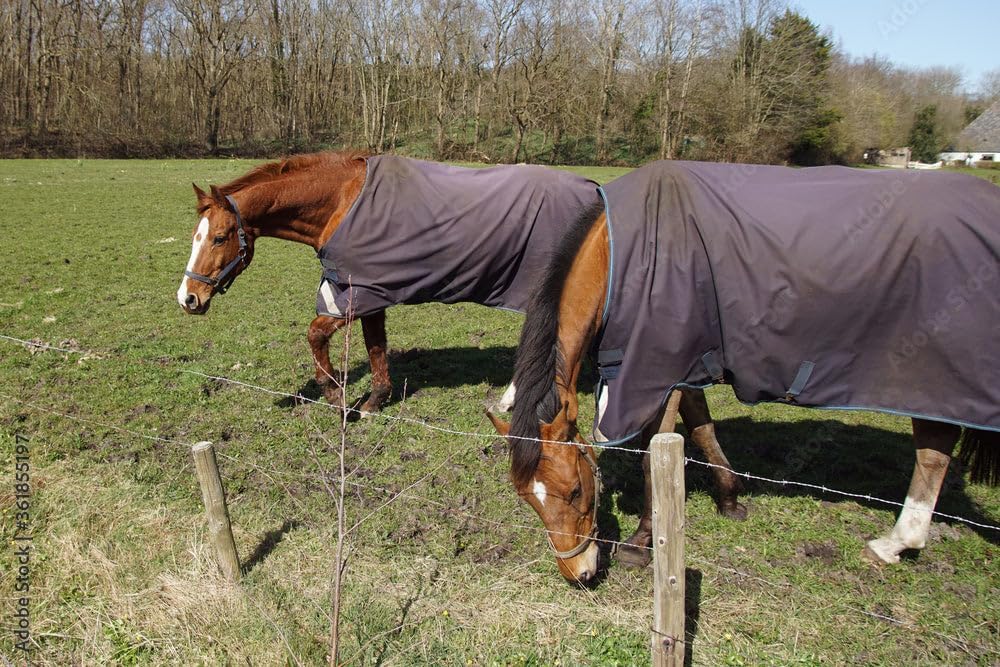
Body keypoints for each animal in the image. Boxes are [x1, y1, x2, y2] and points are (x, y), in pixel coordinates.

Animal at [174, 152, 747, 533]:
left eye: (221, 237)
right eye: (196, 236)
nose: (188, 299)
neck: (341, 199)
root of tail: (597, 194)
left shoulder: (353, 292)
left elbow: (317, 336)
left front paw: (338, 396)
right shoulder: (371, 288)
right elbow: (376, 346)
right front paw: (374, 399)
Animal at [488, 160, 1000, 584]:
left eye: (576, 490)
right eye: (528, 499)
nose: (579, 574)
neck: (620, 255)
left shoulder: (658, 370)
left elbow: (655, 455)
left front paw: (643, 542)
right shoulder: (688, 364)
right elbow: (702, 430)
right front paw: (730, 497)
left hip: (930, 376)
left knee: (933, 453)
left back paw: (896, 541)